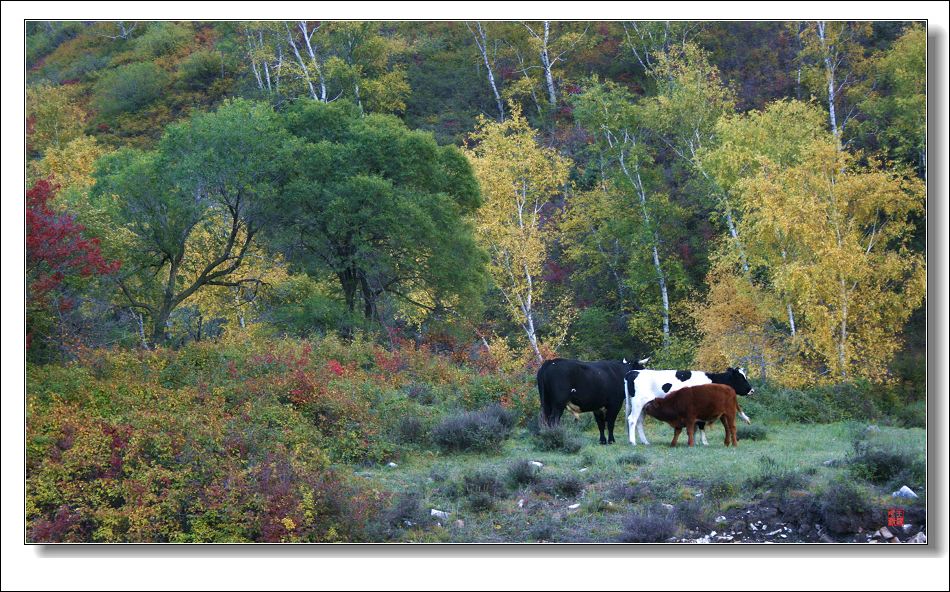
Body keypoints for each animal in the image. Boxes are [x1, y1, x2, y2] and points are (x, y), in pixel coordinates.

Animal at [628, 368, 756, 446]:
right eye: (740, 377)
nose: (752, 390)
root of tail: (634, 372)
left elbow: (694, 426)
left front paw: (695, 441)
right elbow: (701, 425)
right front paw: (704, 442)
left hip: (643, 407)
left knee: (639, 422)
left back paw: (645, 442)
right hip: (638, 403)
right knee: (632, 420)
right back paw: (633, 442)